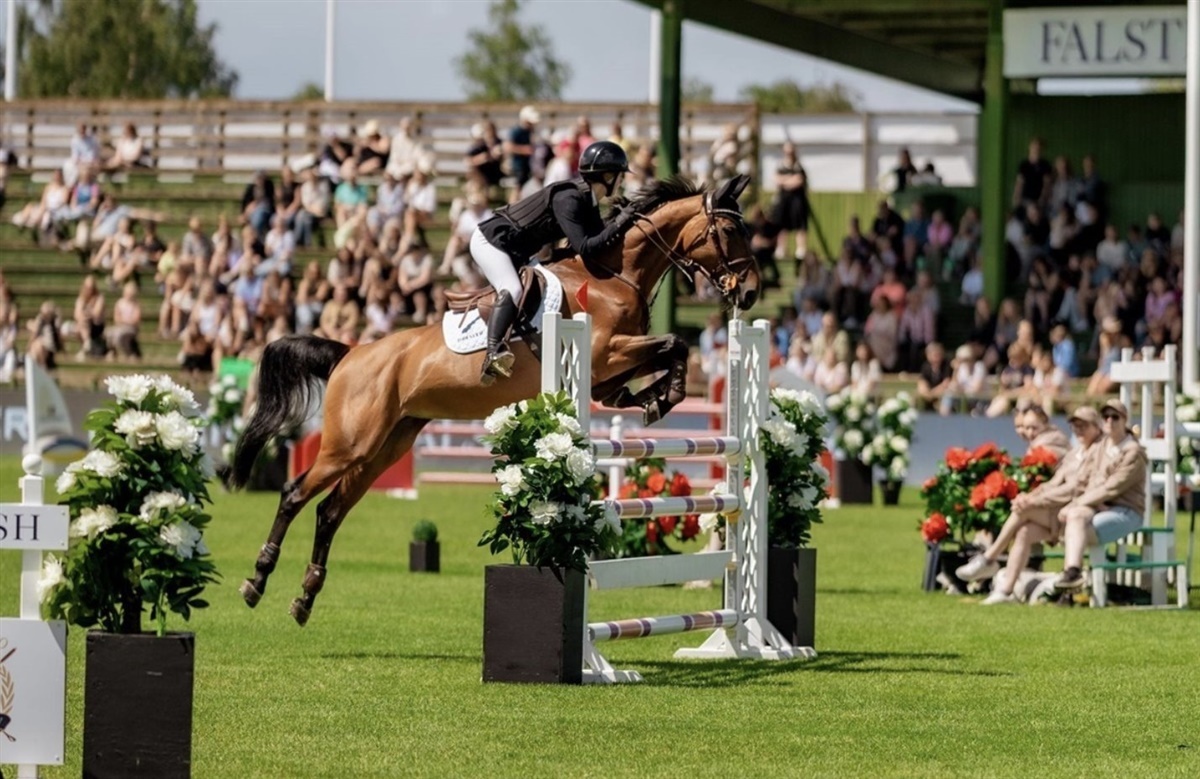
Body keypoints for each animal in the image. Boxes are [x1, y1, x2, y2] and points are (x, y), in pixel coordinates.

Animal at [229, 174, 762, 626]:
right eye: (729, 231)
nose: (752, 292)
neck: (613, 276)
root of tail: (351, 353)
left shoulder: (604, 380)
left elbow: (667, 356)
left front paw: (660, 398)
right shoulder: (604, 353)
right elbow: (675, 343)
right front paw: (663, 395)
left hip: (385, 448)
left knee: (330, 511)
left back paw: (304, 597)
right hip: (350, 443)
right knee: (295, 494)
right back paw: (257, 580)